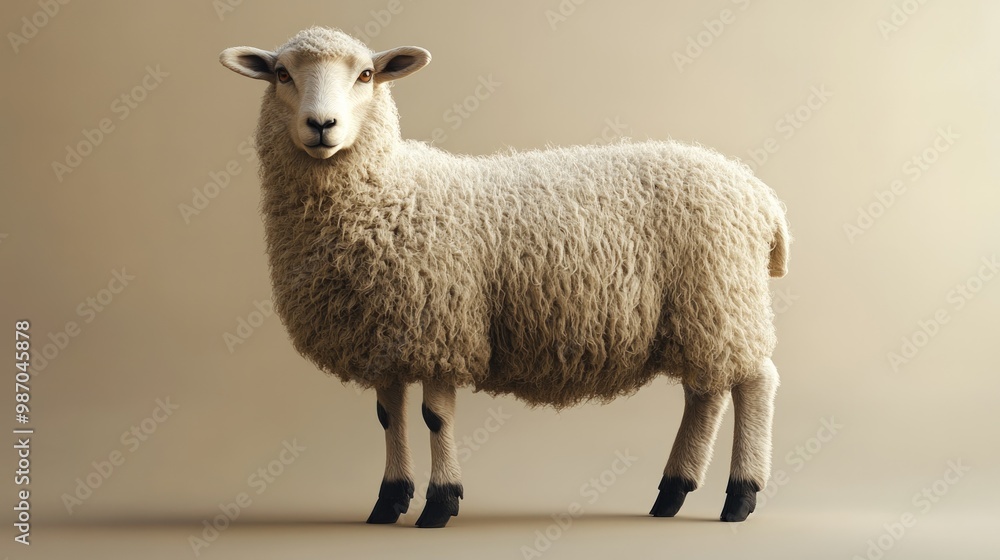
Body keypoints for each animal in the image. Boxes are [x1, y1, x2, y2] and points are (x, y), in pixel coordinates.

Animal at [220, 26, 790, 528]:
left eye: (365, 74)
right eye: (281, 74)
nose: (322, 124)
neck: (389, 192)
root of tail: (762, 196)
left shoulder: (442, 326)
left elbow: (435, 418)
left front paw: (439, 504)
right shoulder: (387, 333)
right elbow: (390, 417)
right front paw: (388, 502)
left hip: (724, 296)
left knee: (756, 382)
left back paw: (740, 495)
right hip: (702, 312)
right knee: (707, 392)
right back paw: (673, 491)